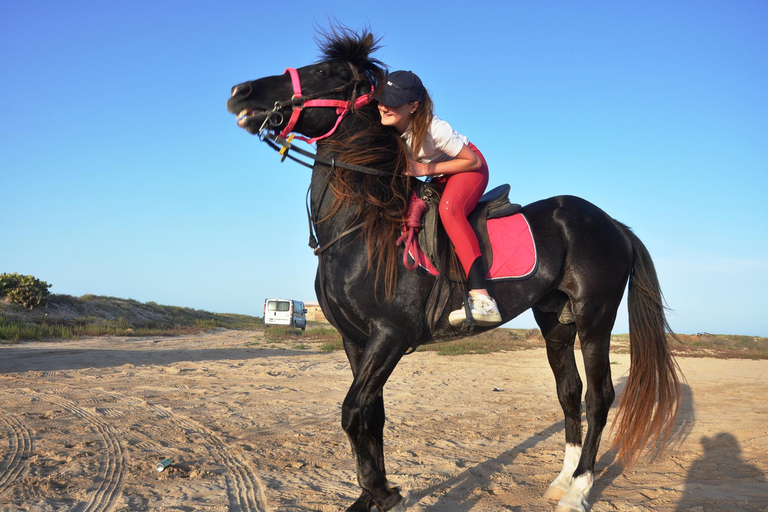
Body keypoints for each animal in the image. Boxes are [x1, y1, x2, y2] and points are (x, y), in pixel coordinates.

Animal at [225, 27, 680, 512]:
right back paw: (561, 480)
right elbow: (371, 415)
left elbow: (352, 412)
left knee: (599, 398)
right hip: (556, 319)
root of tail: (614, 224)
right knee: (569, 394)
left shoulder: (389, 336)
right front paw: (373, 495)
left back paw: (578, 490)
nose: (240, 92)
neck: (364, 226)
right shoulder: (355, 340)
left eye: (326, 73)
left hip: (596, 317)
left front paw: (383, 494)